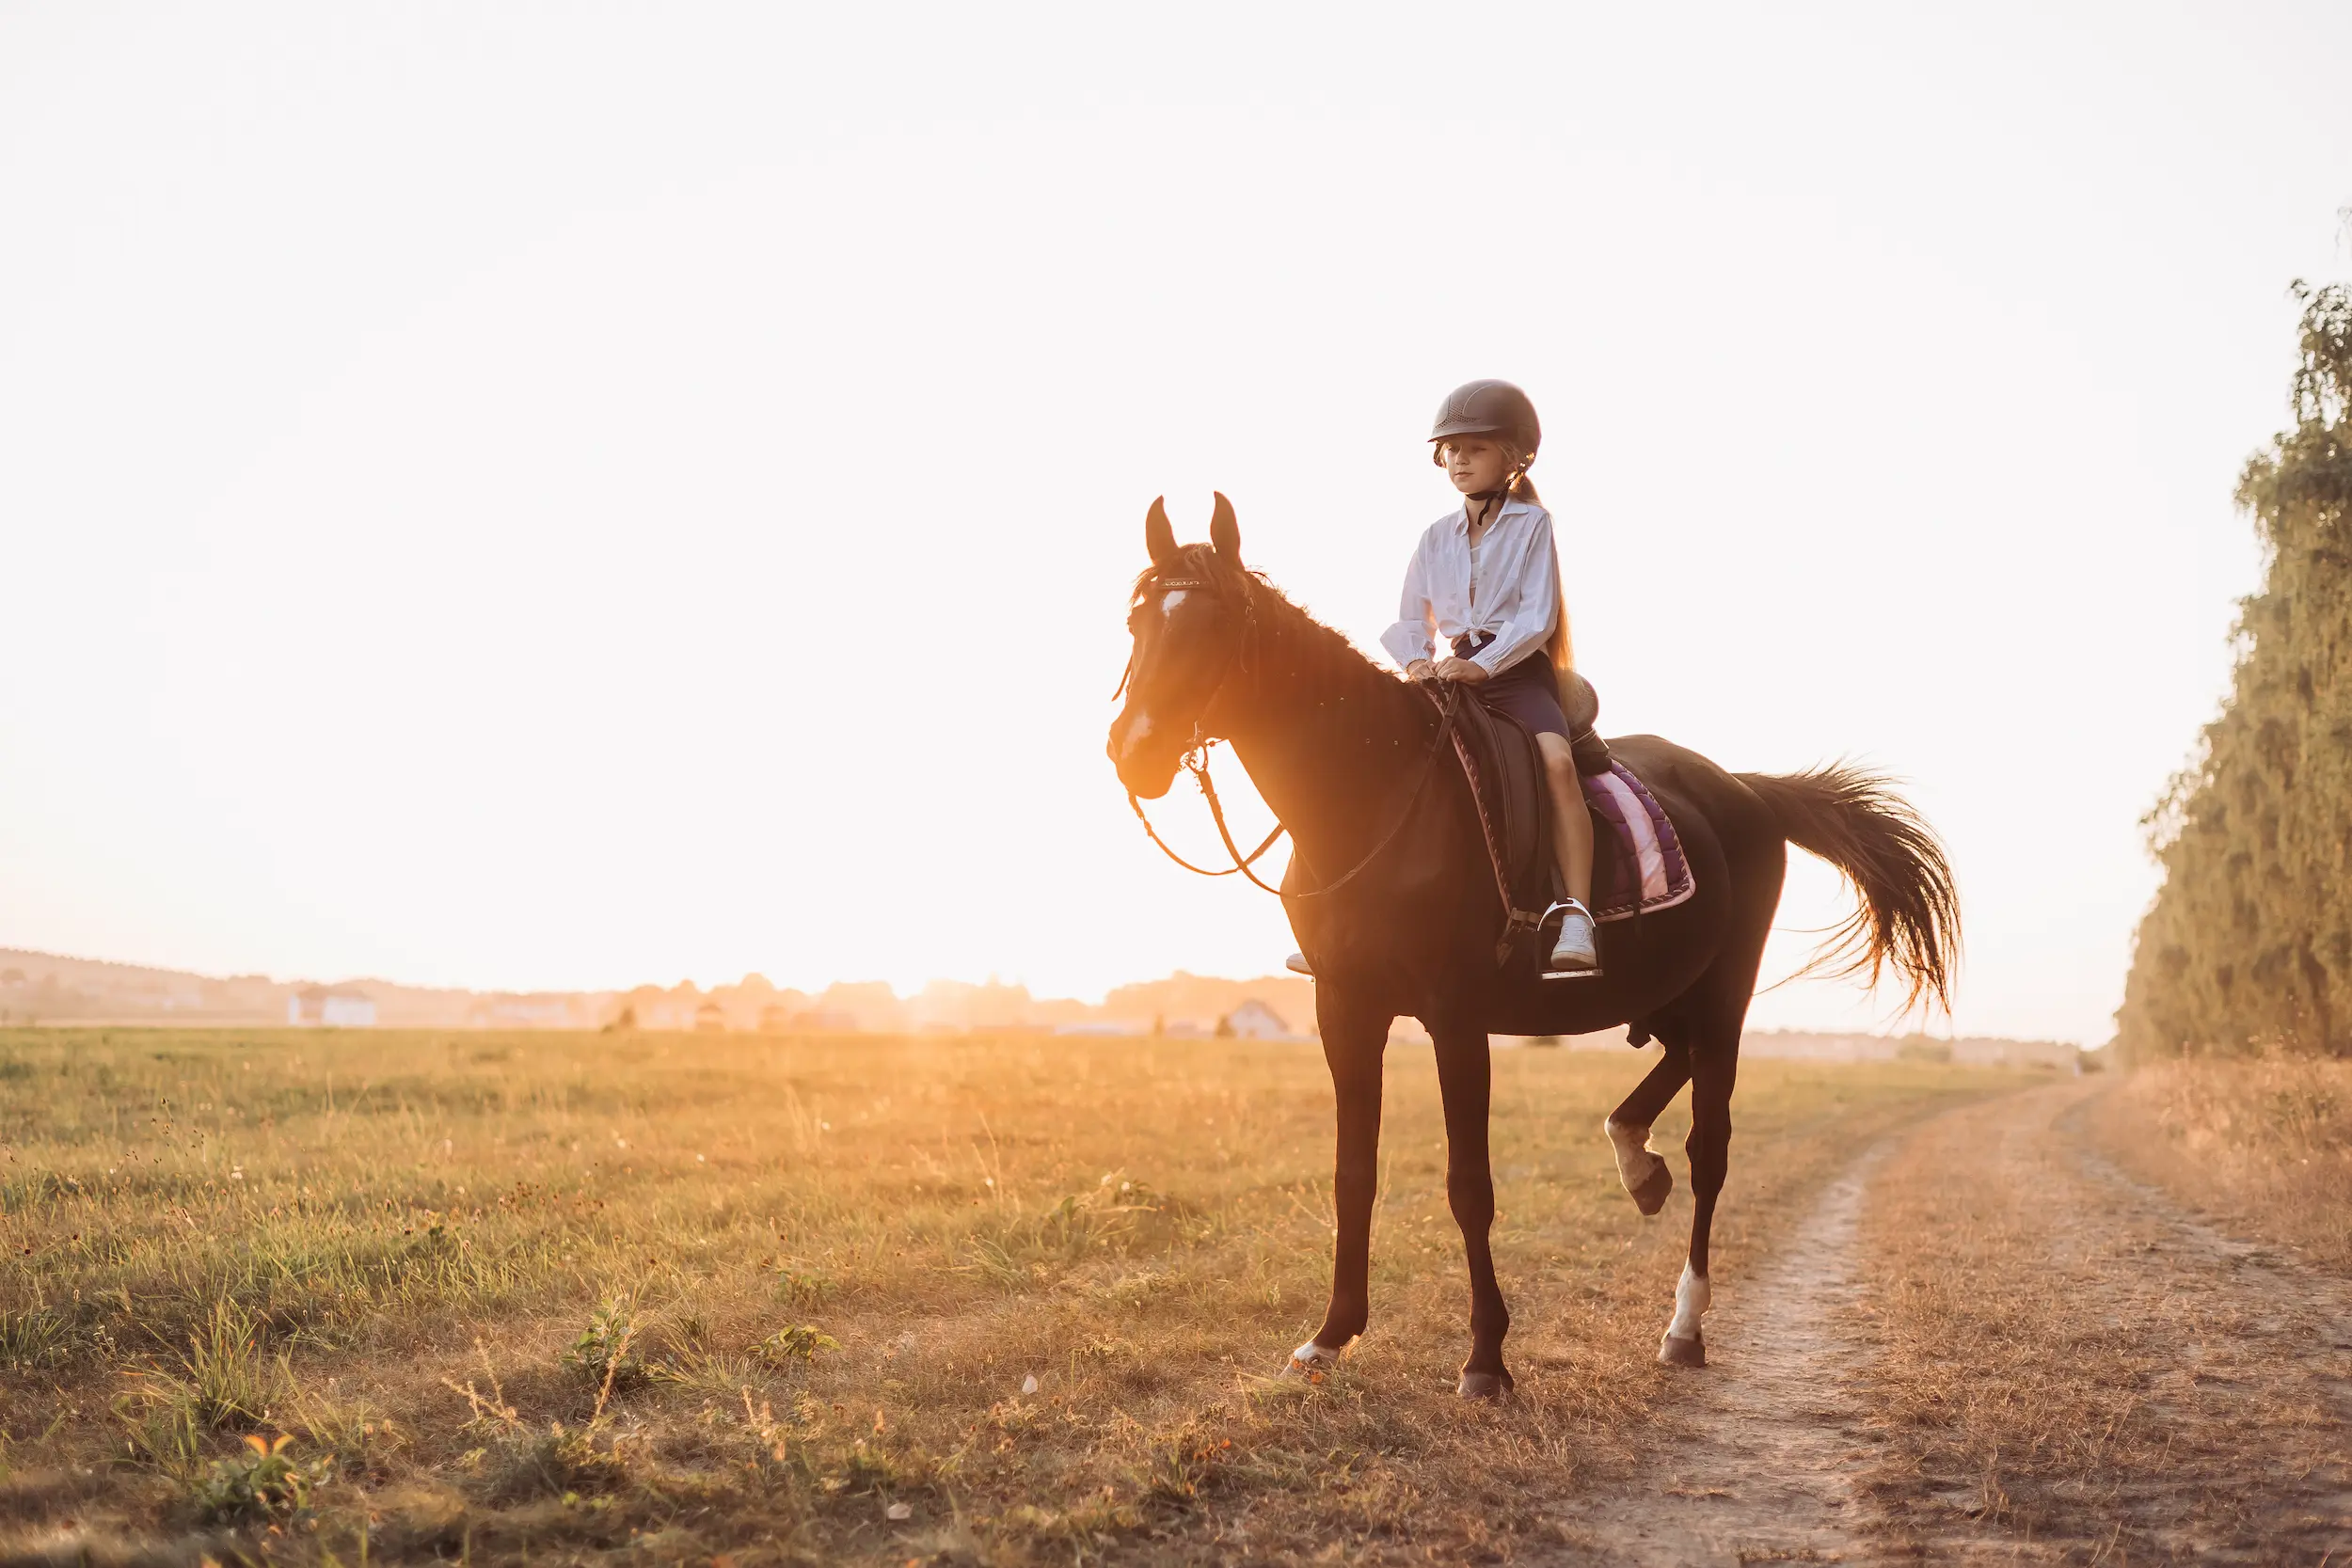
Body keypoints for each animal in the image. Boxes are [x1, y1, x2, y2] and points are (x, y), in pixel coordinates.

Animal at [1106, 494, 1959, 1398]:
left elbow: (1468, 1185)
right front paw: (1332, 1335)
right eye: (1137, 621)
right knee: (1670, 1073)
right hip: (1664, 992)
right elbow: (1352, 1174)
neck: (1376, 796)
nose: (1134, 749)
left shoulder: (1455, 1017)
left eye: (1217, 625)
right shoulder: (1345, 1008)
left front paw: (1486, 1358)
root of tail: (1746, 790)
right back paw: (1637, 1161)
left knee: (1711, 1151)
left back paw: (1684, 1322)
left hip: (1724, 996)